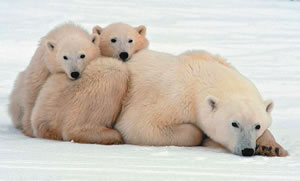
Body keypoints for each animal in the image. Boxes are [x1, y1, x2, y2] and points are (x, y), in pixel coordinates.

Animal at [115, 49, 288, 156]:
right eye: (234, 124)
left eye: (257, 126)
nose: (247, 150)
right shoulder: (172, 97)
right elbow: (139, 125)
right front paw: (203, 136)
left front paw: (270, 147)